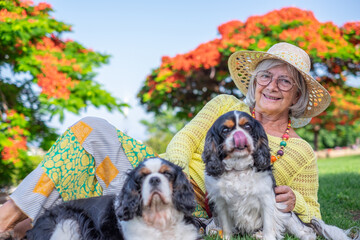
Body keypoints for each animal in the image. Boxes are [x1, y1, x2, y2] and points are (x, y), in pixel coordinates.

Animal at [202, 111, 354, 240]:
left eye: (248, 126)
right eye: (225, 130)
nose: (239, 134)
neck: (239, 170)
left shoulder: (267, 200)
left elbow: (269, 226)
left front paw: (267, 236)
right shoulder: (221, 204)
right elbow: (226, 228)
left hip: (287, 214)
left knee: (307, 232)